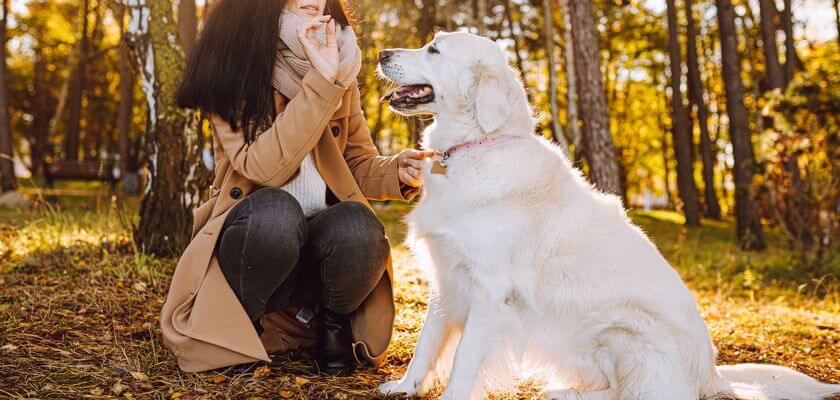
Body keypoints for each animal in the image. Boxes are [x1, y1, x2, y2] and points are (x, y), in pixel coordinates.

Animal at [376, 31, 840, 400]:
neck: (475, 147)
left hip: (624, 331)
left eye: (434, 49)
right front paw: (404, 386)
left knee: (626, 393)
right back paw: (563, 391)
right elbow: (425, 346)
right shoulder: (446, 278)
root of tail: (711, 376)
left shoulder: (489, 291)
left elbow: (464, 360)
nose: (380, 52)